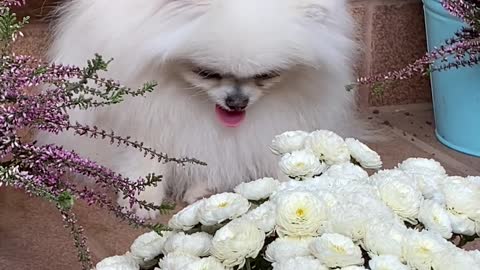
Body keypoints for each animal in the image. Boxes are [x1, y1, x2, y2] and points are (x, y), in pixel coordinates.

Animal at [38, 0, 364, 219]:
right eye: (206, 73)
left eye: (267, 75)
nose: (237, 102)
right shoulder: (144, 111)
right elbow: (144, 156)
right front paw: (142, 197)